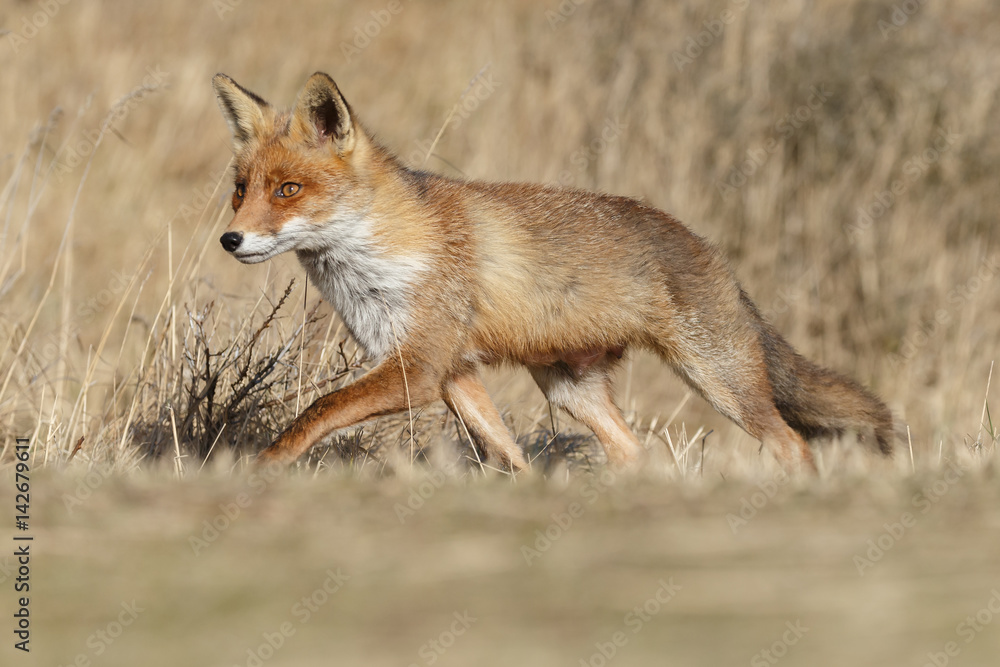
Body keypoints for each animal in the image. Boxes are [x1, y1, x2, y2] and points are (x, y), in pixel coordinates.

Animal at [212, 71, 893, 473]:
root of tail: (711, 251)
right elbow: (504, 449)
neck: (382, 255)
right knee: (636, 452)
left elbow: (316, 412)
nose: (230, 238)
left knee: (791, 443)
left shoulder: (421, 366)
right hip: (570, 388)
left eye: (288, 190)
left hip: (718, 380)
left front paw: (255, 472)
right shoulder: (452, 370)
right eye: (241, 190)